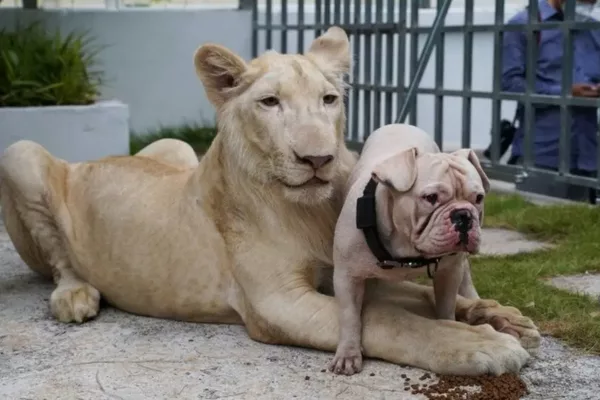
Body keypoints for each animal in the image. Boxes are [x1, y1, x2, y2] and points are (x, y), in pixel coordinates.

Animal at [0, 26, 540, 376]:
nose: (318, 158)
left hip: (173, 150)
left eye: (329, 99)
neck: (312, 208)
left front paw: (499, 316)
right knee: (60, 262)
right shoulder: (278, 303)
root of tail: (98, 157)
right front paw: (479, 344)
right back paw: (75, 297)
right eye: (269, 103)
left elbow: (421, 298)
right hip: (19, 154)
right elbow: (389, 320)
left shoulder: (343, 273)